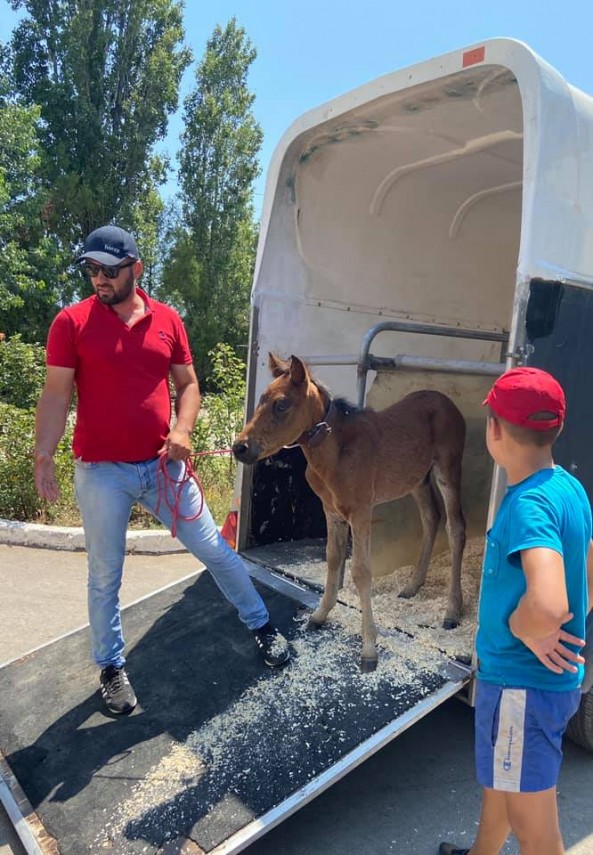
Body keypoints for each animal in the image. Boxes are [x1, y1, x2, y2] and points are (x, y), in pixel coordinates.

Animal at [232, 354, 467, 672]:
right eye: (260, 401)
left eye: (282, 404)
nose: (240, 447)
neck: (335, 452)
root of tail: (446, 401)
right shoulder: (331, 510)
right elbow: (333, 558)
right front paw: (320, 615)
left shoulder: (361, 511)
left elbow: (361, 571)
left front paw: (368, 649)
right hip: (418, 480)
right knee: (431, 518)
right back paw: (411, 586)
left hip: (448, 470)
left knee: (456, 528)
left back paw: (452, 611)